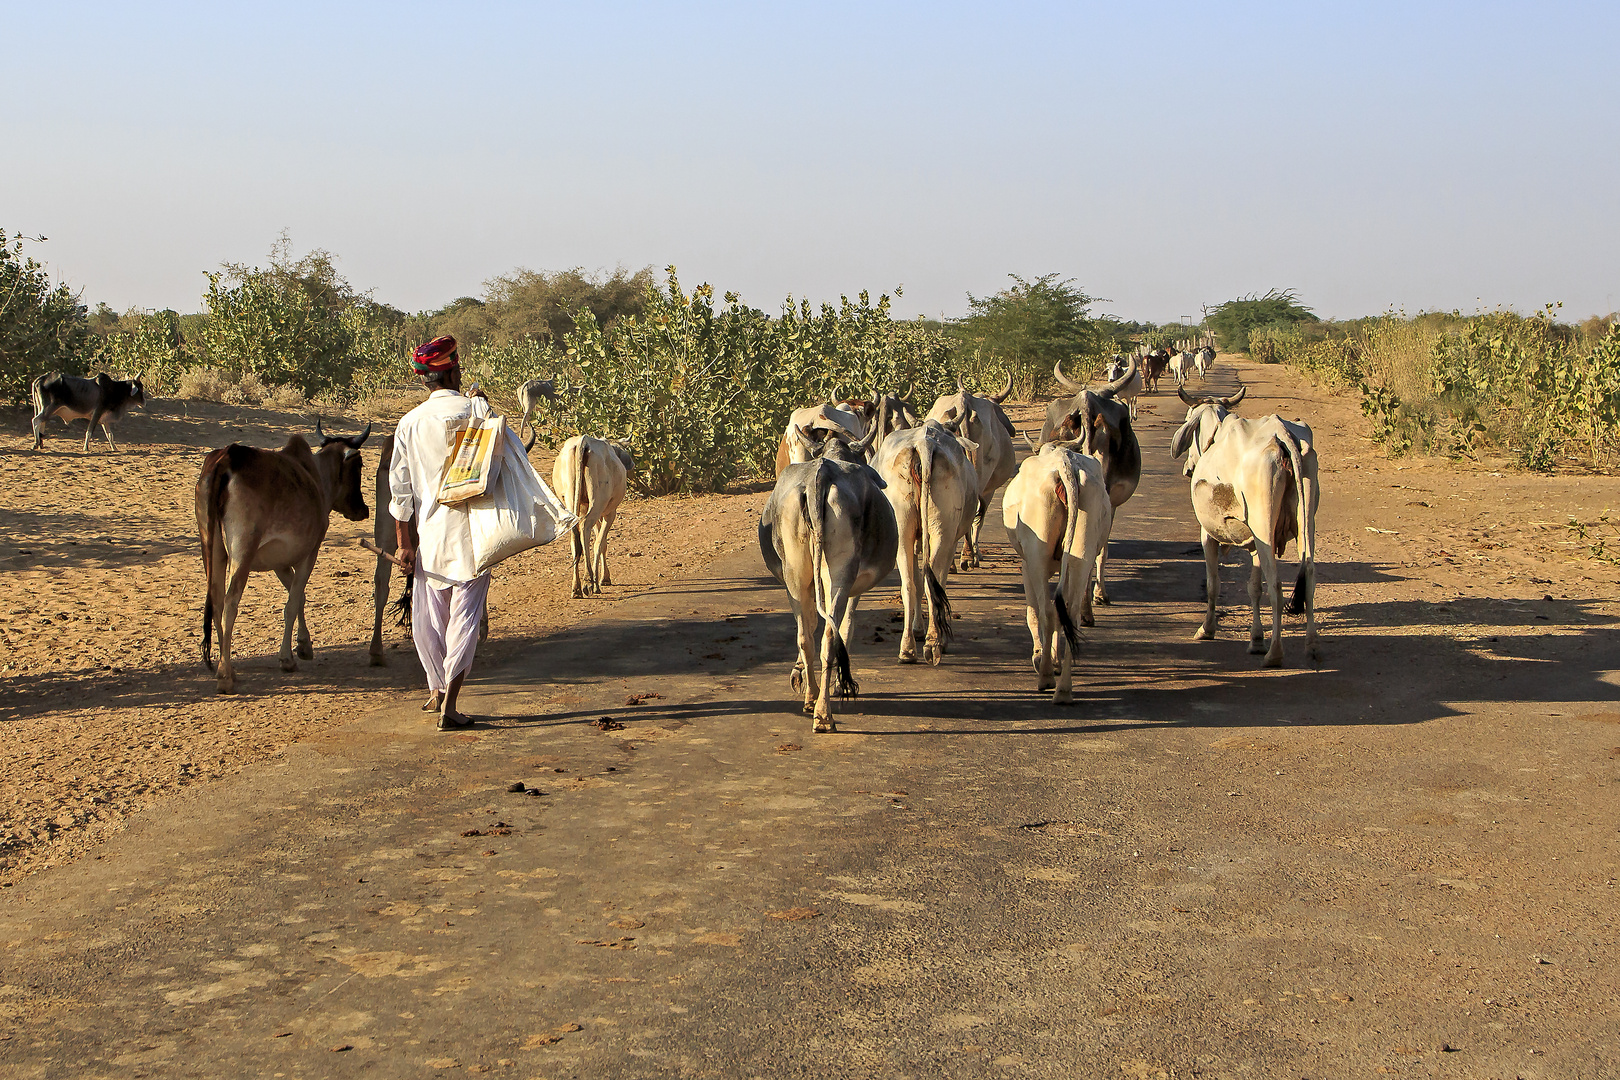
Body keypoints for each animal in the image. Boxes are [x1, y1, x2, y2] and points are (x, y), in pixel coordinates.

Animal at [196, 420, 370, 693]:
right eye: (360, 465)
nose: (363, 509)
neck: (316, 477)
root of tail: (228, 457)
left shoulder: (279, 563)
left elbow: (299, 598)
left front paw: (304, 645)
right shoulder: (310, 551)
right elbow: (293, 601)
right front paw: (287, 658)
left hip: (211, 548)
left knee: (216, 601)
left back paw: (229, 668)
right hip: (243, 551)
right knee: (230, 602)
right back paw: (225, 675)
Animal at [557, 430, 631, 599]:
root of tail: (584, 442)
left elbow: (598, 541)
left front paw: (602, 578)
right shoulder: (609, 513)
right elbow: (601, 543)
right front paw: (601, 580)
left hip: (572, 499)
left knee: (575, 537)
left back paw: (576, 587)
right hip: (598, 501)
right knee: (585, 528)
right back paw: (588, 581)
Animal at [997, 443, 1114, 705]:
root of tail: (1065, 464)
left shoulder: (1026, 564)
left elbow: (1033, 613)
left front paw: (1041, 657)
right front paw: (1054, 660)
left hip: (1037, 554)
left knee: (1047, 612)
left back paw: (1046, 677)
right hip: (1083, 547)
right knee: (1070, 613)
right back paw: (1064, 690)